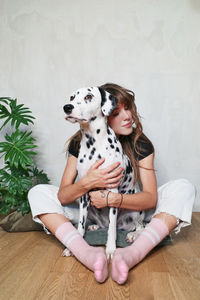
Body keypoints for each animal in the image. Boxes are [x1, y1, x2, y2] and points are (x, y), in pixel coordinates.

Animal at [63, 86, 145, 258]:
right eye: (72, 97)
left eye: (88, 96)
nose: (67, 107)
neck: (94, 143)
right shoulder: (83, 192)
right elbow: (80, 225)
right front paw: (73, 246)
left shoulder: (112, 192)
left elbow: (112, 230)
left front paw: (111, 249)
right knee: (104, 225)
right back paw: (95, 226)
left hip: (136, 206)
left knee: (140, 226)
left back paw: (133, 234)